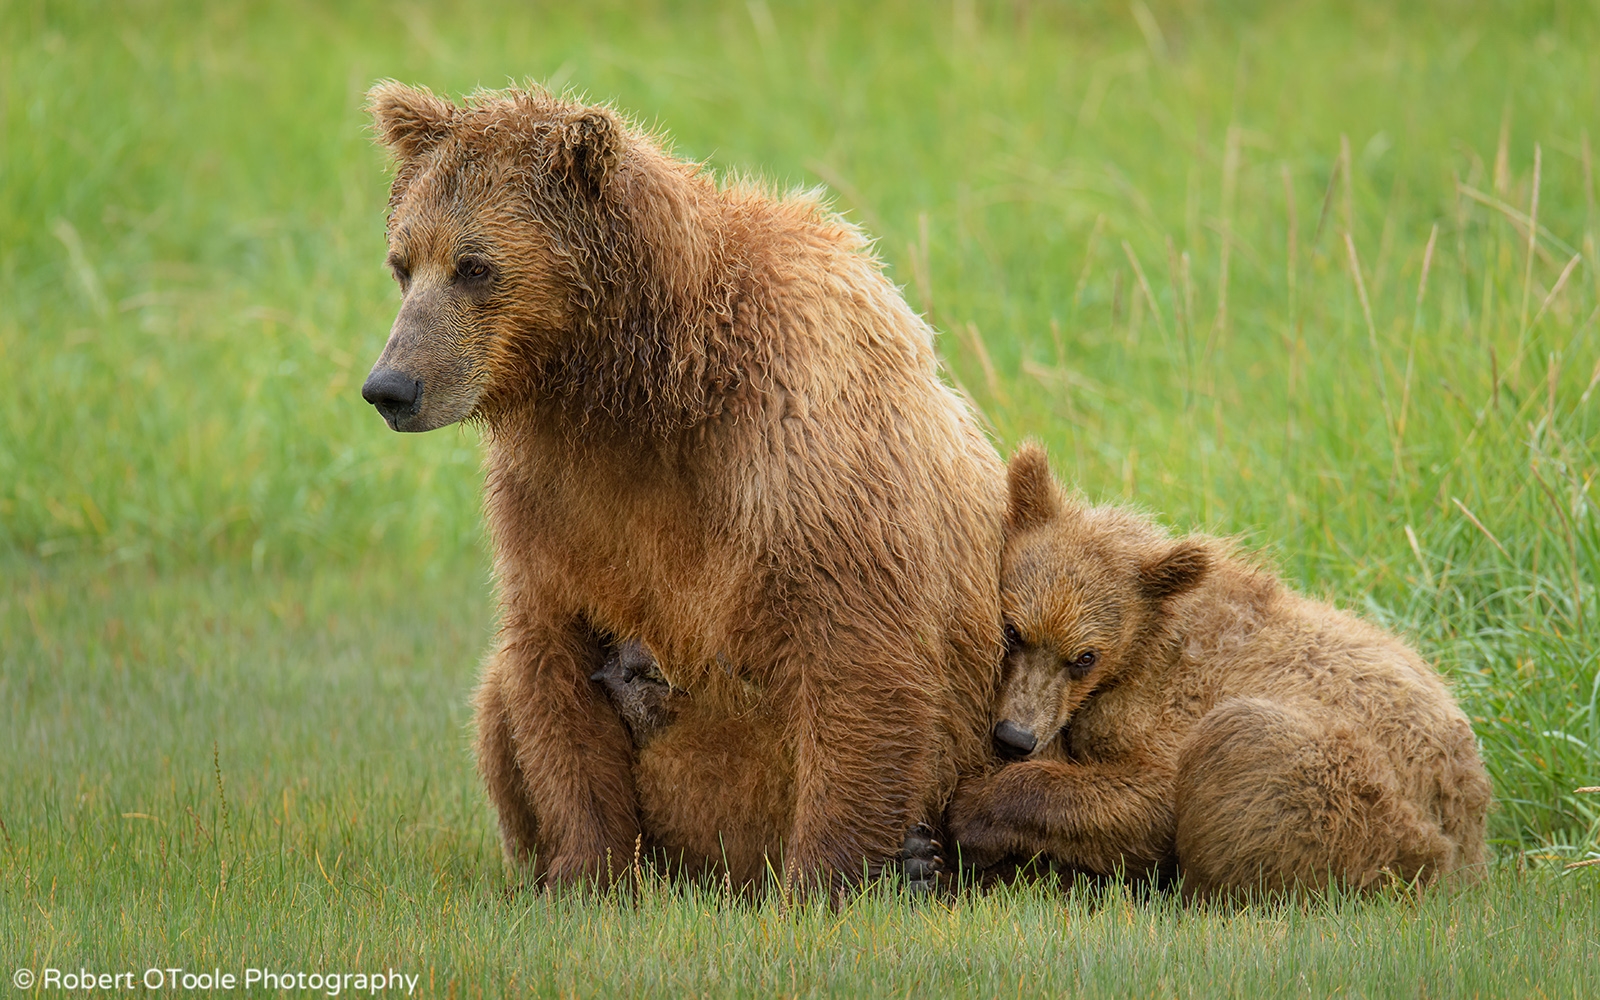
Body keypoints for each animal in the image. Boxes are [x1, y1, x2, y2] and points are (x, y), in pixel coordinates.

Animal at [361, 82, 998, 883]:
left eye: (473, 265)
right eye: (402, 262)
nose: (390, 387)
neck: (648, 387)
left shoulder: (802, 450)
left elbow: (857, 652)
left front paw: (825, 876)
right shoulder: (553, 493)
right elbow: (549, 651)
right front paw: (588, 871)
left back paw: (917, 861)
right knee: (496, 700)